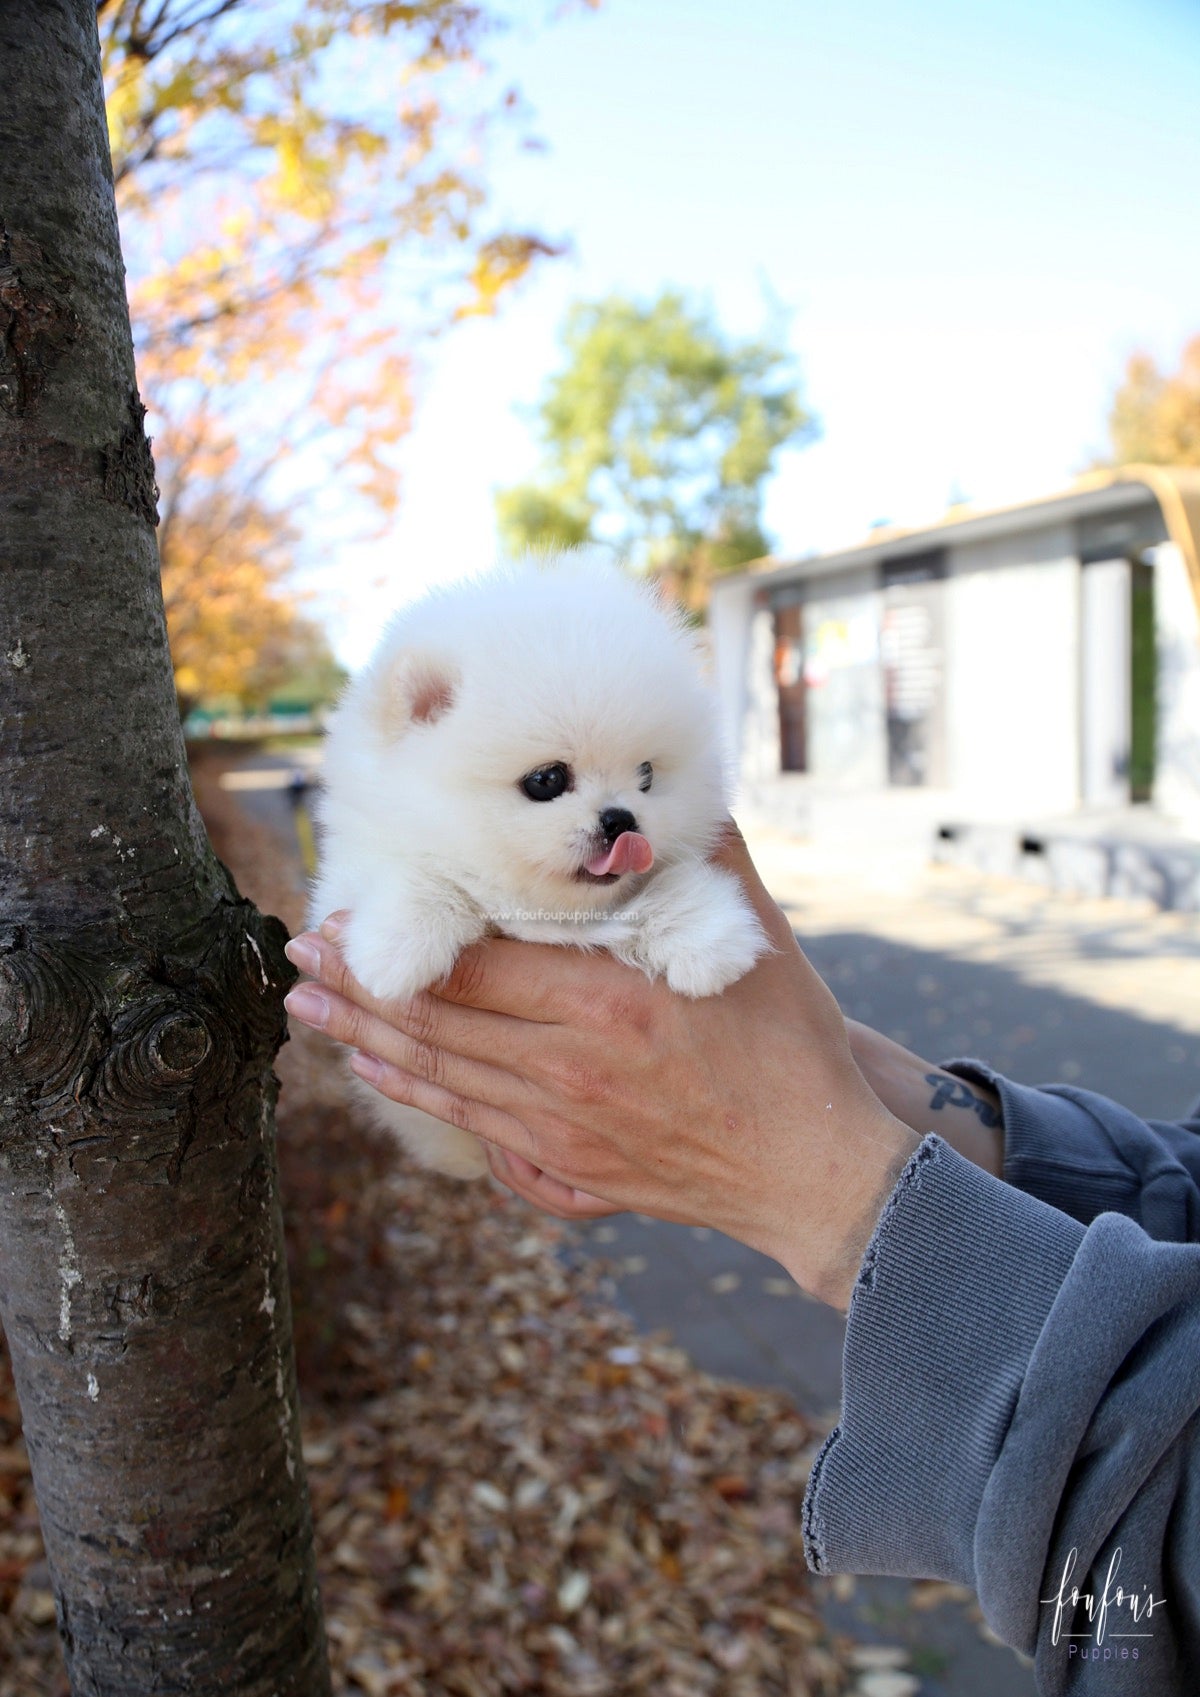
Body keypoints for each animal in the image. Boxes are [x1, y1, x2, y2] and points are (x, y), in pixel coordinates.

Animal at [310, 560, 770, 1181]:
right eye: (547, 780)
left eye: (647, 775)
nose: (623, 820)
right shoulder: (347, 878)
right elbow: (422, 876)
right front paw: (398, 947)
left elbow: (673, 884)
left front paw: (709, 943)